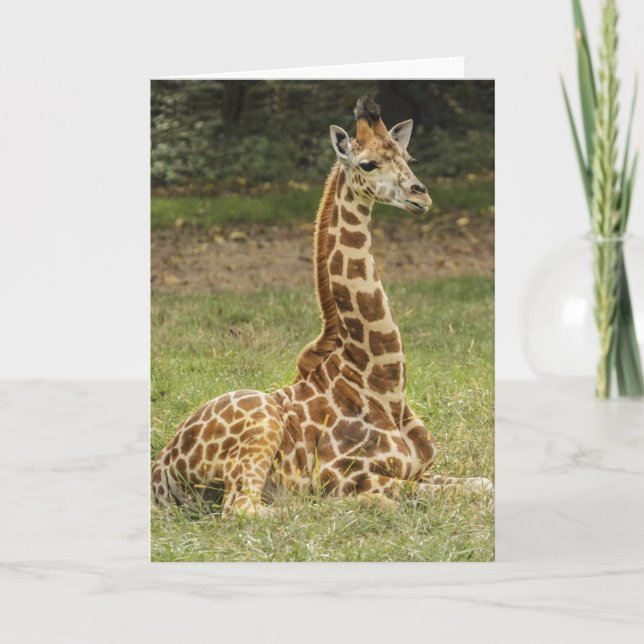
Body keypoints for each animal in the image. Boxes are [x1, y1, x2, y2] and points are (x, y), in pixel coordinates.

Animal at [151, 96, 492, 517]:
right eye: (368, 164)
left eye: (407, 157)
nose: (421, 195)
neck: (384, 386)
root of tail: (161, 470)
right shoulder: (346, 474)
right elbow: (399, 496)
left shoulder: (421, 471)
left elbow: (484, 484)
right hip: (260, 430)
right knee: (249, 508)